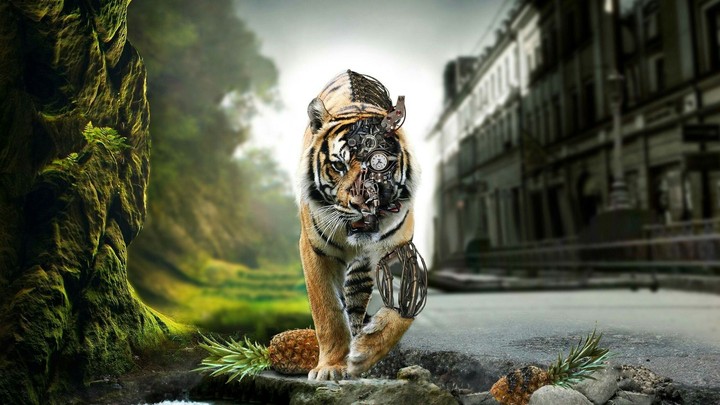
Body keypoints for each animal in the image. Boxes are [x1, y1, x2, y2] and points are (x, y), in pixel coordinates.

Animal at [297, 70, 425, 380]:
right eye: (338, 166)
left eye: (379, 164)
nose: (363, 203)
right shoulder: (314, 251)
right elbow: (327, 311)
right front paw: (330, 367)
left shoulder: (401, 250)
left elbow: (402, 311)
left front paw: (365, 352)